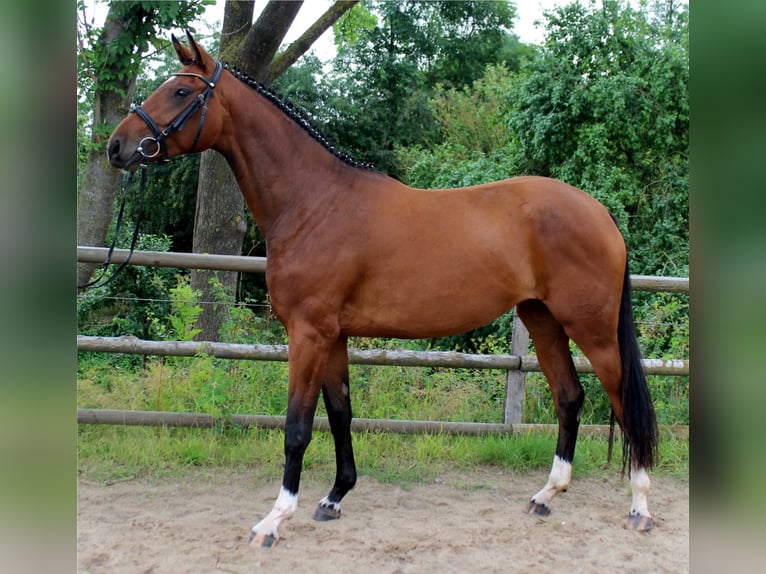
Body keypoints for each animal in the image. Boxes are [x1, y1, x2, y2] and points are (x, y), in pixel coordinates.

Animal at [106, 33, 660, 548]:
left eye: (180, 91)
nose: (116, 147)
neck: (315, 204)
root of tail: (600, 212)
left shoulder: (308, 334)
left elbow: (296, 428)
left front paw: (274, 520)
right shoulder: (333, 336)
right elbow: (340, 414)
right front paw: (334, 497)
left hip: (592, 329)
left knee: (623, 401)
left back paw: (639, 508)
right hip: (542, 319)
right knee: (570, 397)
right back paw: (546, 495)